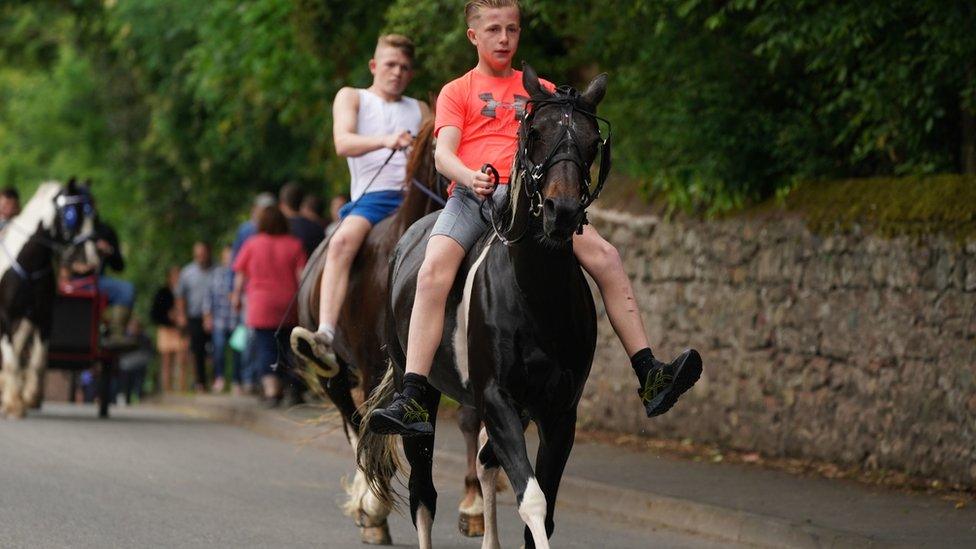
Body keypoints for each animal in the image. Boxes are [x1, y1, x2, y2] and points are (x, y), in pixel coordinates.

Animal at [292, 117, 486, 540]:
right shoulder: (375, 365)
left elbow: (469, 418)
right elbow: (373, 427)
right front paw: (375, 508)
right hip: (336, 374)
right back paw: (370, 508)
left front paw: (474, 504)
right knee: (354, 422)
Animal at [358, 65, 612, 548]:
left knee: (485, 462)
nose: (562, 211)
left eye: (593, 141)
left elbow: (543, 509)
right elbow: (531, 500)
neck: (537, 298)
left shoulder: (559, 413)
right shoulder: (497, 400)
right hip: (418, 395)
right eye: (534, 132)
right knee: (423, 493)